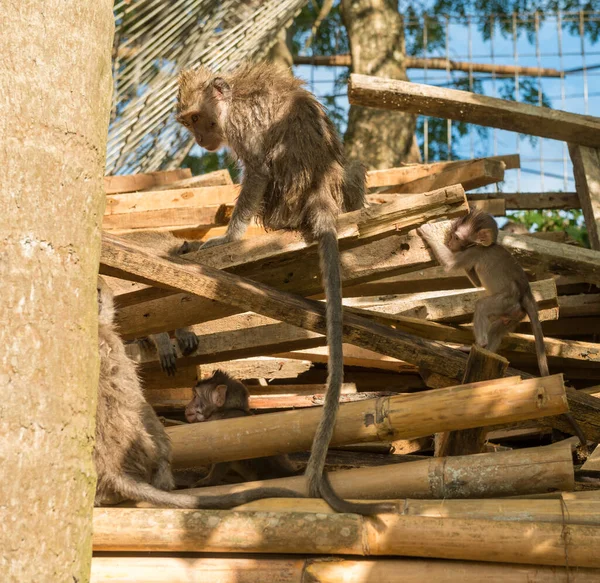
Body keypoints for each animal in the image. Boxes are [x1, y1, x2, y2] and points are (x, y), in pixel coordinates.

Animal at [175, 61, 390, 516]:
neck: (231, 95)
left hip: (282, 204)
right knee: (355, 169)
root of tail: (319, 194)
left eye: (199, 119)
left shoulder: (240, 126)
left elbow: (256, 170)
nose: (200, 139)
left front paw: (227, 237)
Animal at [418, 212, 584, 444]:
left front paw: (427, 231)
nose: (450, 242)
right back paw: (485, 349)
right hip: (514, 313)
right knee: (499, 326)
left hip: (506, 302)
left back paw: (480, 343)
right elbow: (475, 279)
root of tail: (526, 293)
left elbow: (451, 265)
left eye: (457, 236)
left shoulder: (473, 252)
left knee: (482, 306)